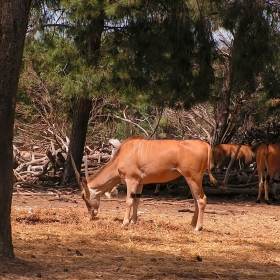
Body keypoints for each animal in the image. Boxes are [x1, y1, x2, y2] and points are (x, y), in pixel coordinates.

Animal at [72, 137, 217, 231]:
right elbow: (137, 200)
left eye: (83, 196)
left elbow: (129, 201)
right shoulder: (140, 183)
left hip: (193, 178)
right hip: (192, 180)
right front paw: (133, 221)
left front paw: (125, 222)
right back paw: (192, 224)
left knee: (201, 199)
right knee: (196, 199)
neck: (121, 156)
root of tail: (206, 145)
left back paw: (198, 227)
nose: (92, 214)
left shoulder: (131, 180)